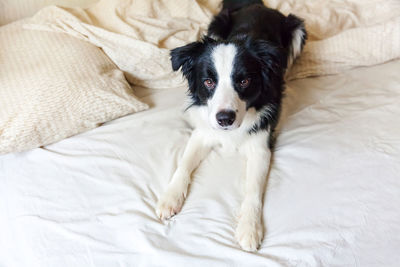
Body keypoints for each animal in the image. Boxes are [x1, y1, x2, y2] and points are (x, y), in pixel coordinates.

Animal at [156, 0, 306, 252]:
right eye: (208, 82)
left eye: (244, 81)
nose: (225, 119)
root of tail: (257, 5)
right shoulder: (202, 133)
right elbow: (183, 165)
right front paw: (170, 198)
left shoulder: (261, 144)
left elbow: (252, 189)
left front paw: (249, 228)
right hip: (216, 24)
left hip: (297, 29)